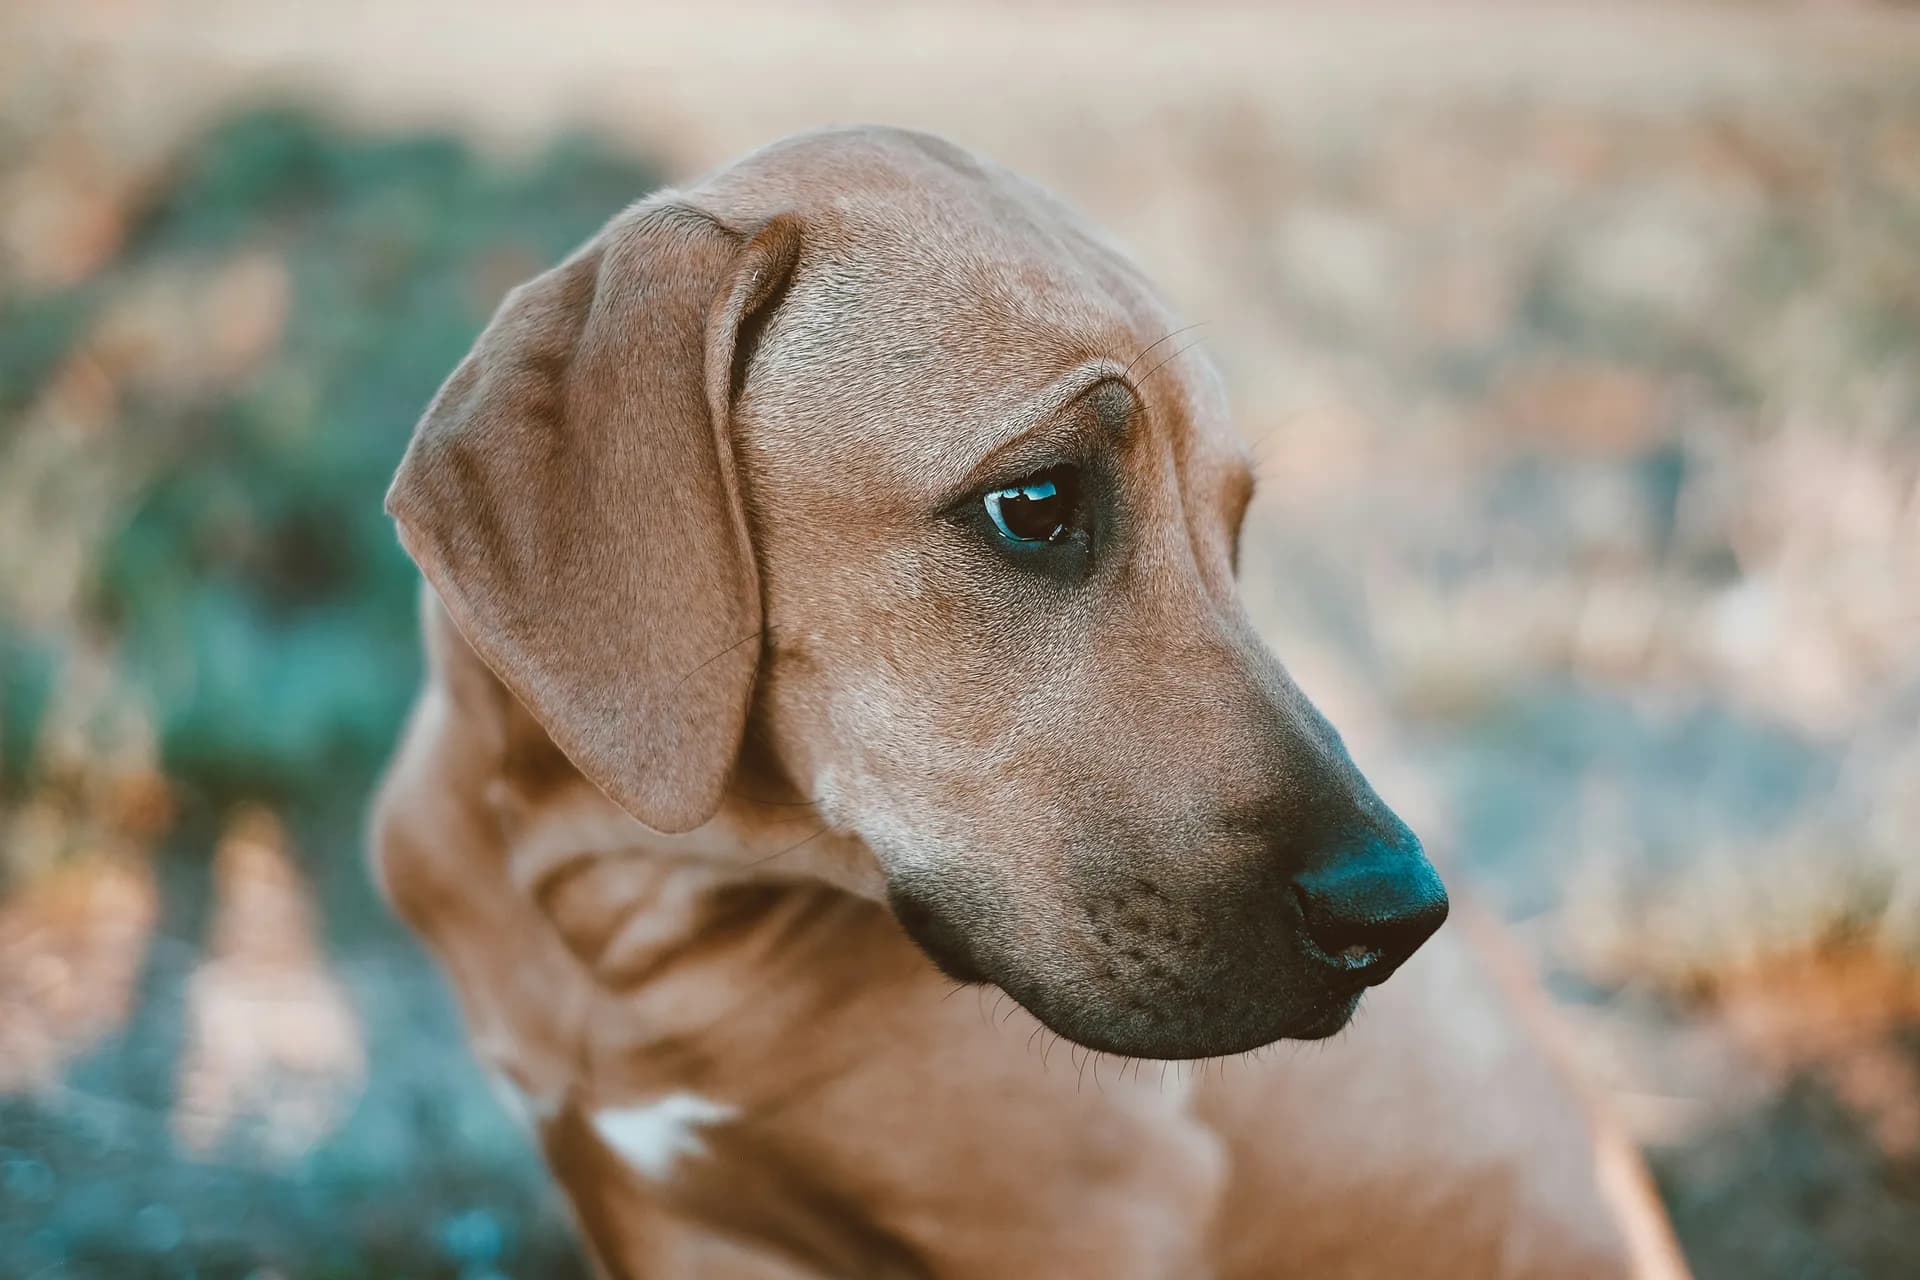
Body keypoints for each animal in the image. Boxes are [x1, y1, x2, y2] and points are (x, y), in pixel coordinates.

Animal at [366, 122, 1689, 1280]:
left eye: (1233, 533)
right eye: (1038, 502)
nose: (1400, 914)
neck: (635, 905)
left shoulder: (1084, 1219)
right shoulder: (670, 1225)